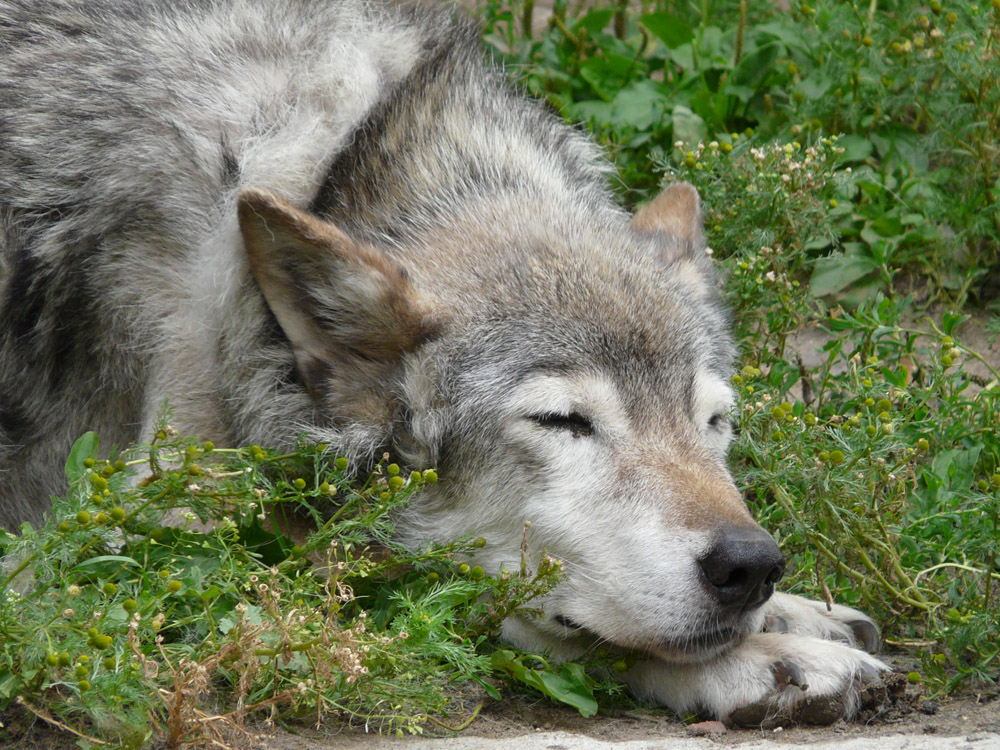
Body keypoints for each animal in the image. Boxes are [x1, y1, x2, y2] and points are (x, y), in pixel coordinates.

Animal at [1, 0, 892, 728]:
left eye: (714, 422)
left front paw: (795, 613)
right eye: (563, 421)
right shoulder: (128, 556)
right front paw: (772, 660)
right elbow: (532, 625)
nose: (752, 565)